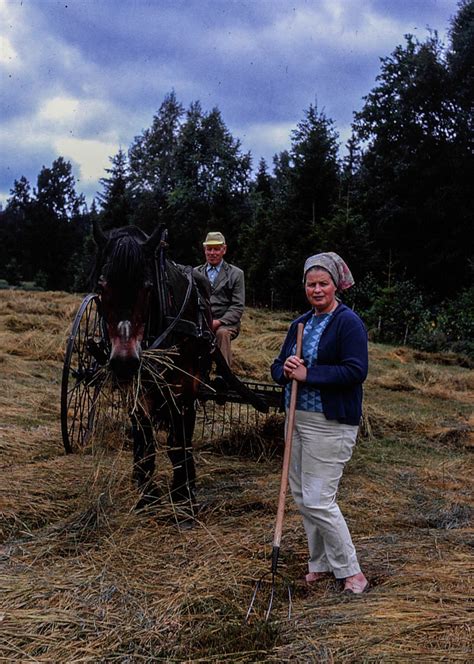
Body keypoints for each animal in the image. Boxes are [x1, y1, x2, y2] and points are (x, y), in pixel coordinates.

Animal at [91, 222, 213, 512]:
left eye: (147, 287)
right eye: (102, 286)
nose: (125, 361)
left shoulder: (185, 383)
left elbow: (180, 439)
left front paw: (184, 496)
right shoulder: (137, 386)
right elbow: (144, 439)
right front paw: (147, 495)